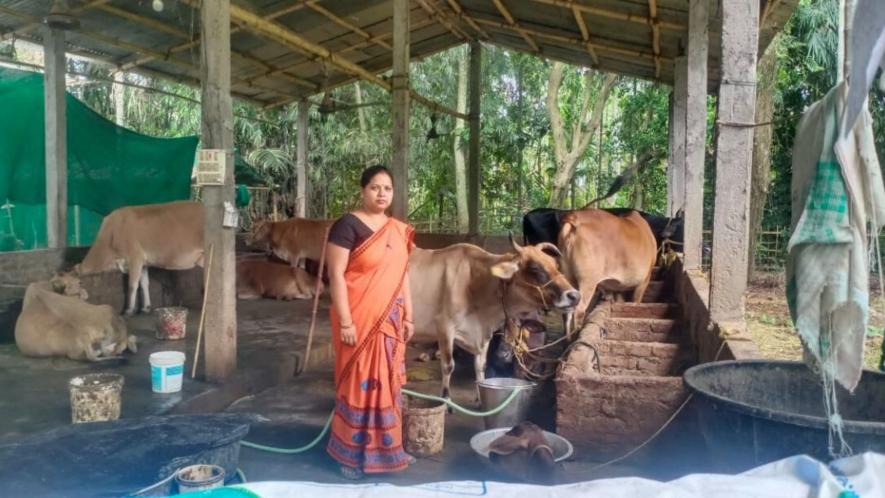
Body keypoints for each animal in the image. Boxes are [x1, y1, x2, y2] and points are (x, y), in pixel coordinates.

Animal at [76, 199, 204, 314]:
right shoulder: (144, 262)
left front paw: (129, 310)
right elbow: (144, 283)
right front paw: (146, 308)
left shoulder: (135, 256)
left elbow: (132, 285)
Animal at [410, 236, 580, 396]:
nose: (575, 295)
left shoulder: (484, 334)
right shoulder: (444, 326)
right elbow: (448, 366)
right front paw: (446, 400)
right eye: (535, 268)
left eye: (556, 265)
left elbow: (480, 367)